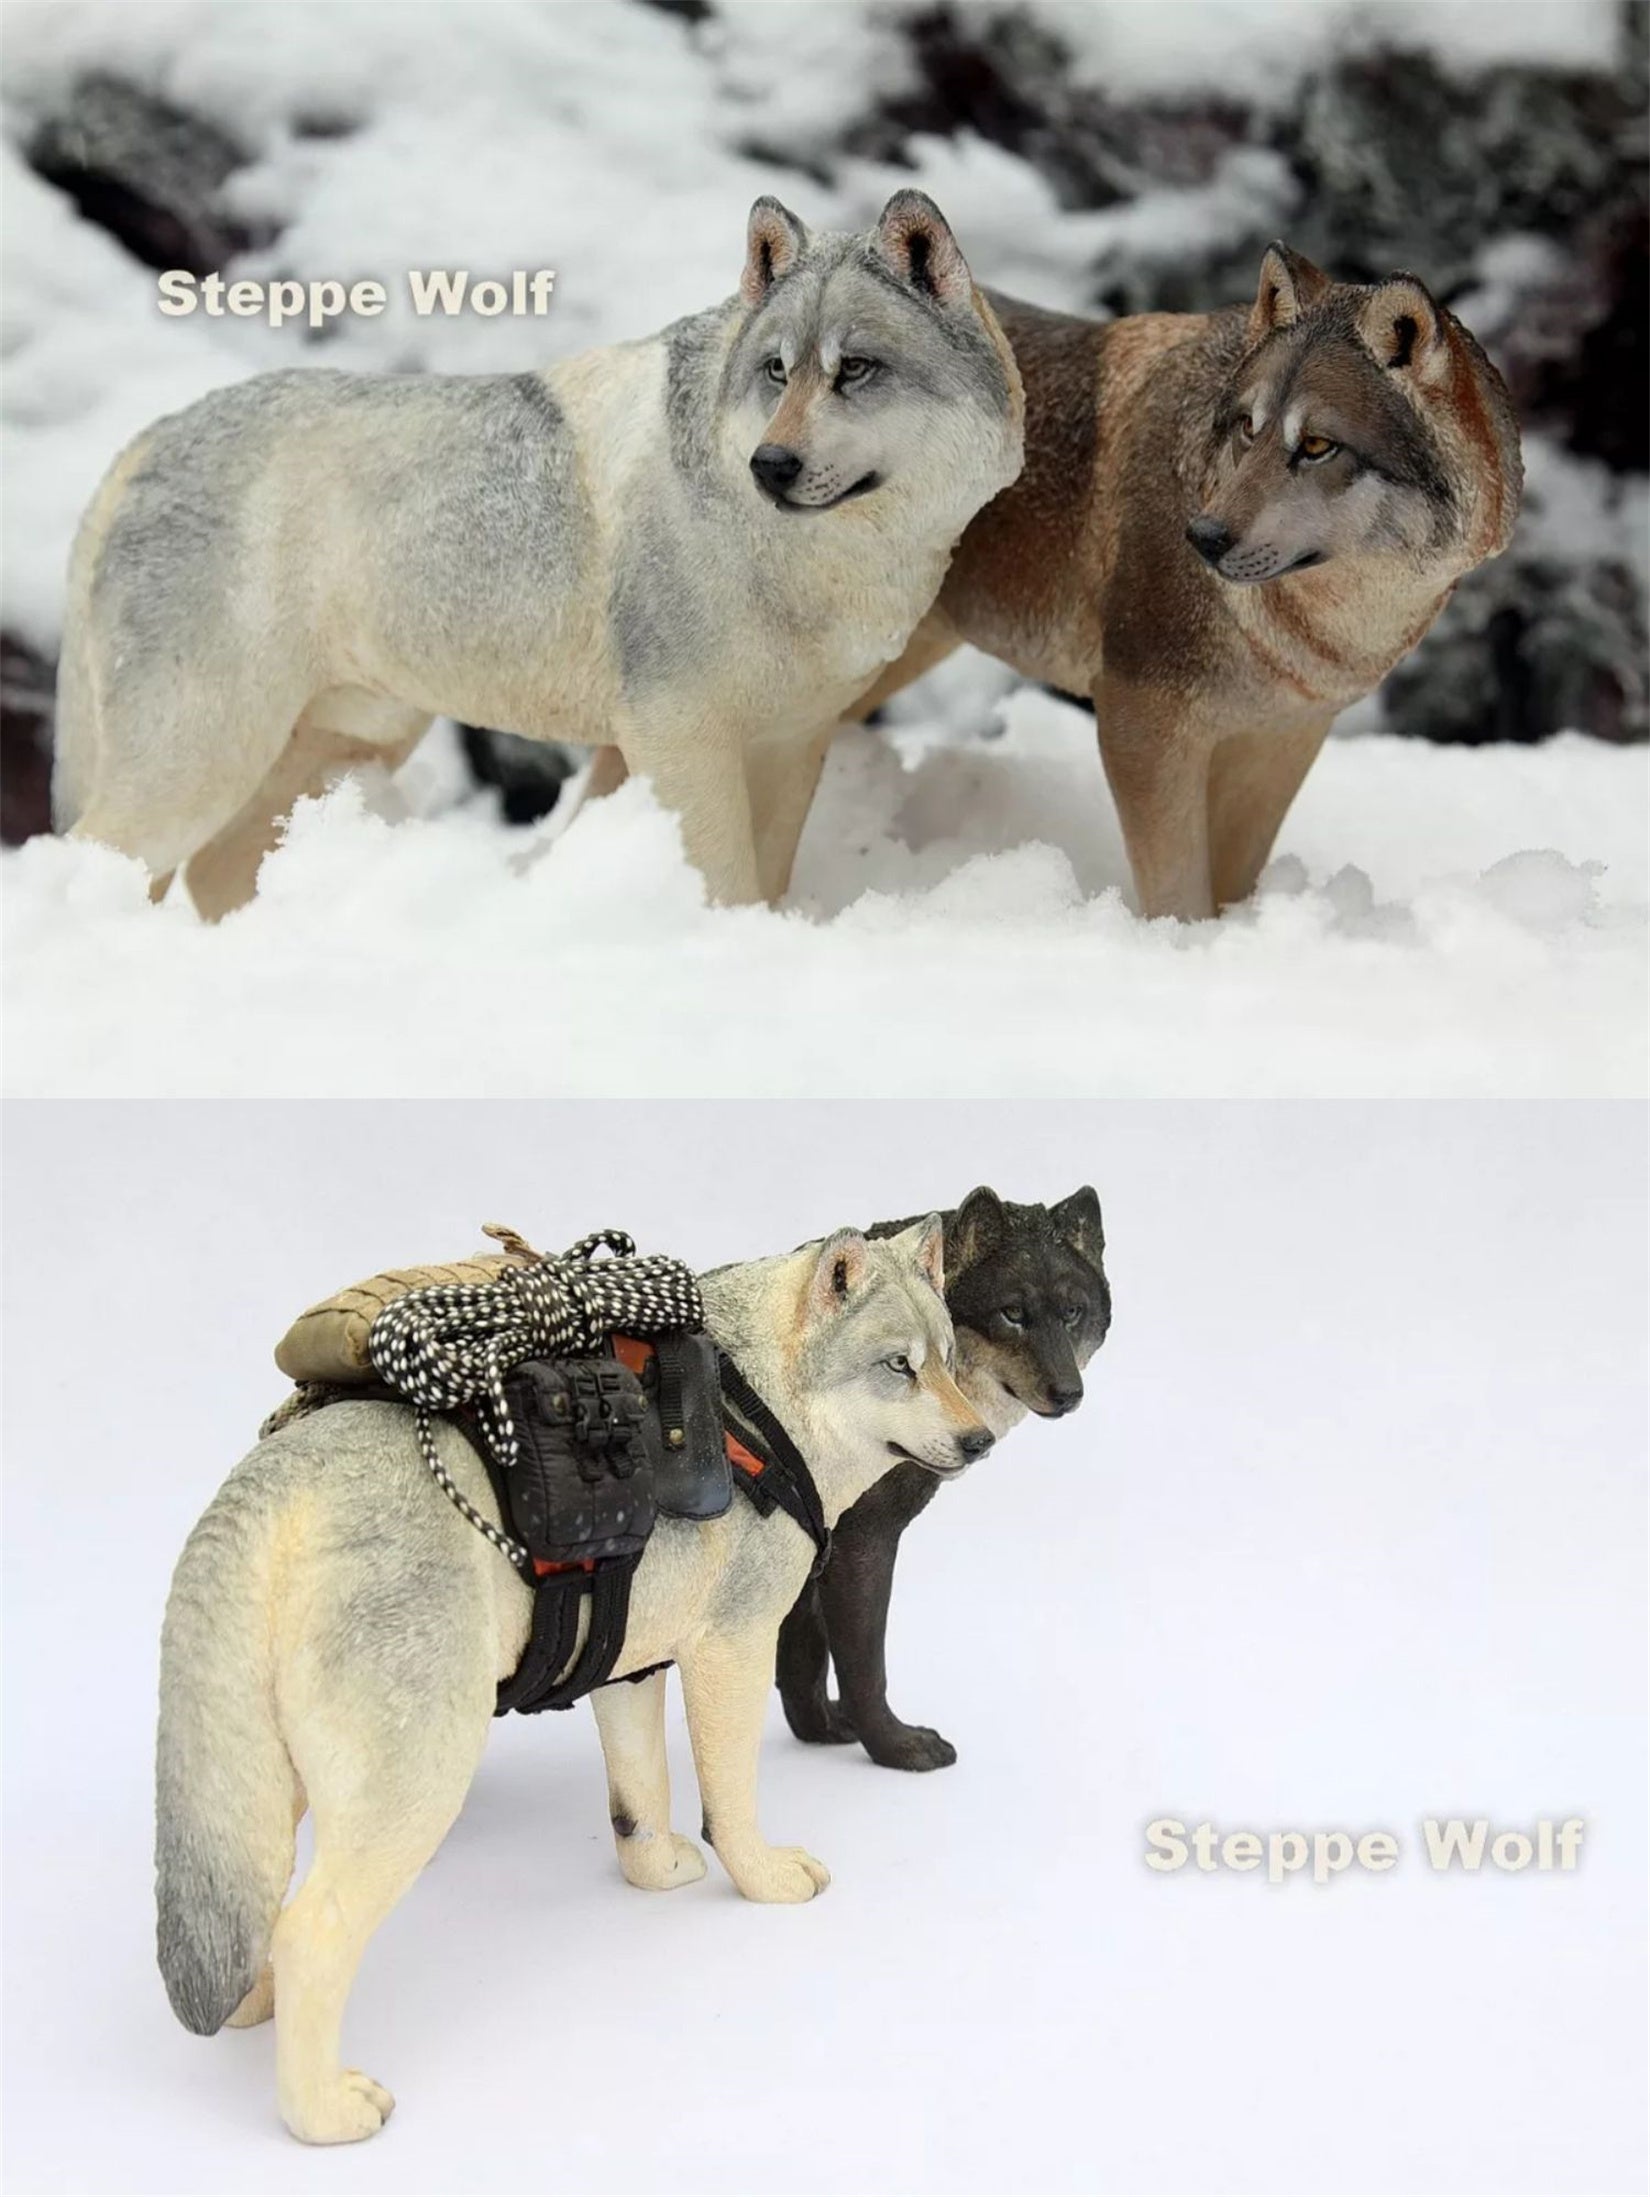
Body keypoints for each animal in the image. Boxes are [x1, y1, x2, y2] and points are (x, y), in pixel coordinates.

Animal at [57, 193, 1022, 917]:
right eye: (778, 371)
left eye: (854, 369)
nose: (770, 465)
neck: (821, 566)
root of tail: (142, 442)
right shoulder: (681, 736)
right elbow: (719, 883)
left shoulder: (793, 741)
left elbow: (764, 888)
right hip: (199, 763)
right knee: (88, 861)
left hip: (328, 750)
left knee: (213, 869)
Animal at [155, 1220, 990, 2143]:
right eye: (898, 1366)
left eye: (950, 1359)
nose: (981, 1439)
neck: (760, 1411)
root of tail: (265, 1485)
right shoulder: (730, 1650)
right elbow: (730, 1802)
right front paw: (764, 1879)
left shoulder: (628, 1666)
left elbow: (640, 1796)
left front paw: (655, 1870)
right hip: (415, 1788)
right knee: (308, 1934)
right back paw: (323, 2111)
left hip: (270, 1794)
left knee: (255, 1914)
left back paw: (251, 2005)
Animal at [777, 1185, 1110, 1770]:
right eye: (1012, 1314)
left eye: (1073, 1312)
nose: (1069, 1394)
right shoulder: (862, 1544)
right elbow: (866, 1669)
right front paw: (895, 1748)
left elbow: (803, 1658)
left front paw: (820, 1731)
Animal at [857, 244, 1523, 921]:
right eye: (1248, 428)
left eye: (1315, 445)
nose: (1203, 537)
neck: (1312, 631)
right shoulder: (1142, 721)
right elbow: (1178, 893)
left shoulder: (1278, 743)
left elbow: (1232, 883)